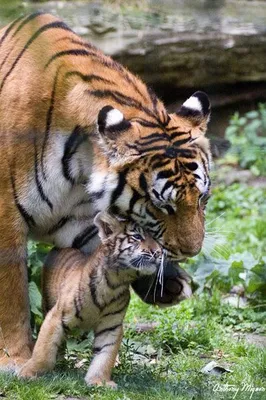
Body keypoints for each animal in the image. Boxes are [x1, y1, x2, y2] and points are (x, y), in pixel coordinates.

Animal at [0, 12, 212, 368]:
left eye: (203, 198)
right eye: (163, 206)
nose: (192, 252)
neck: (81, 167)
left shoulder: (81, 218)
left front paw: (166, 283)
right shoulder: (5, 220)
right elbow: (12, 297)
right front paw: (15, 359)